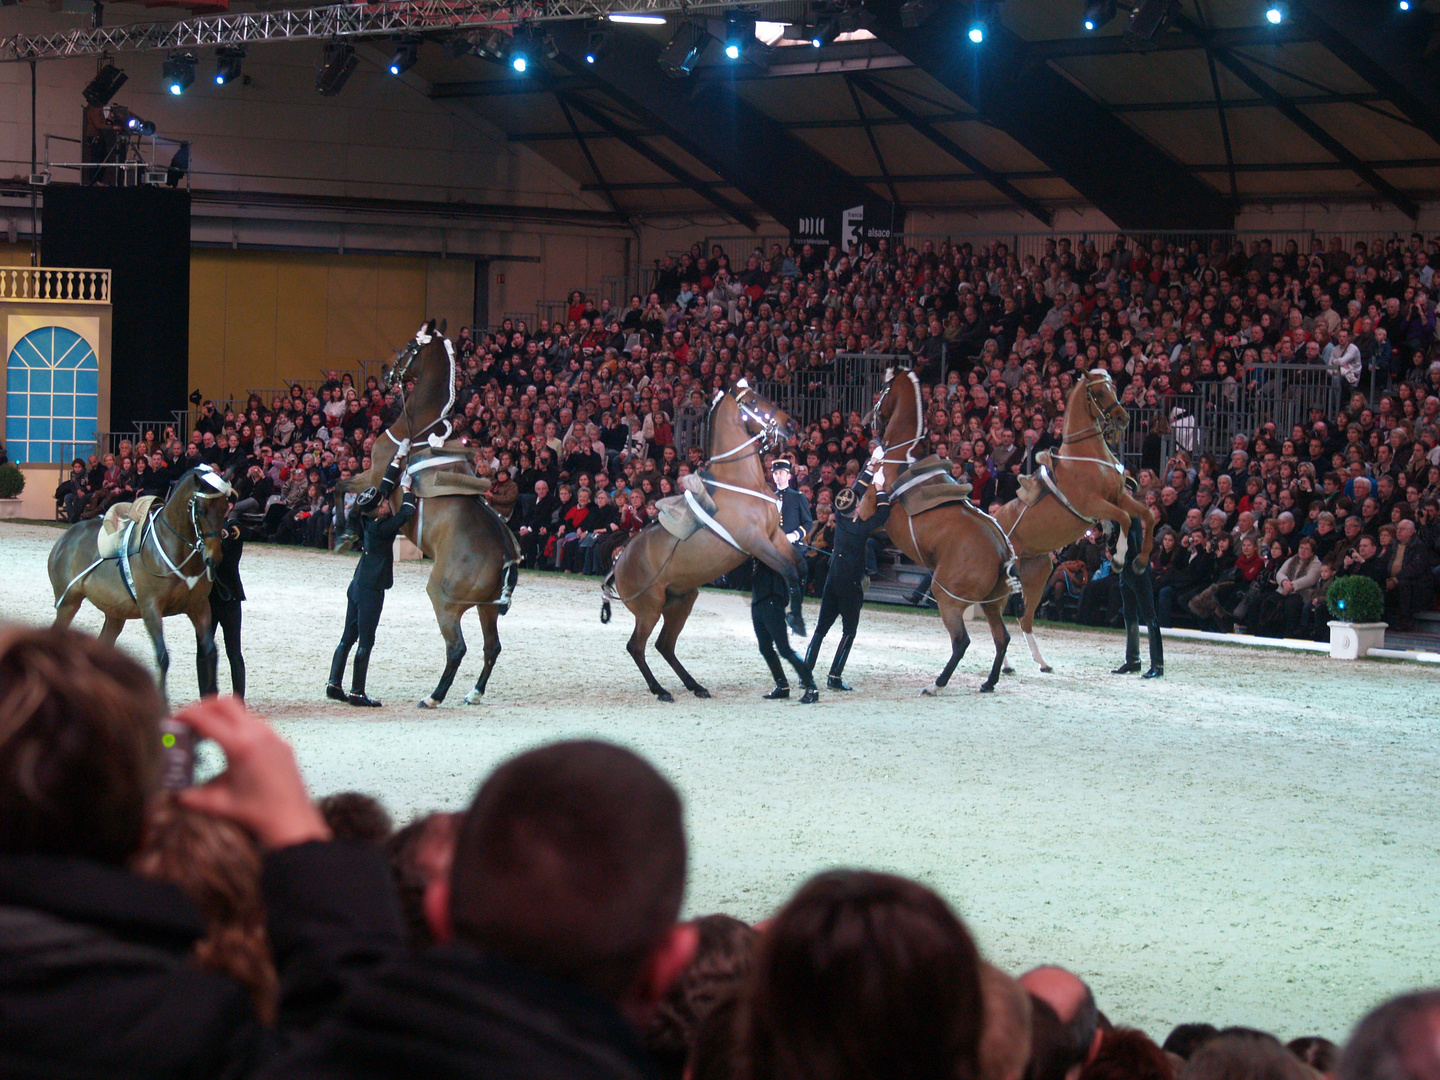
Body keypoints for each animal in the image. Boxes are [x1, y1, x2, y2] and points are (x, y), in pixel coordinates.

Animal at [596, 385, 800, 705]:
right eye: (753, 401)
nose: (790, 424)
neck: (742, 483)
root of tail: (619, 561)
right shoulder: (757, 543)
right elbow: (789, 571)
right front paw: (795, 620)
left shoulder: (774, 536)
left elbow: (799, 567)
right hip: (649, 610)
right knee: (637, 647)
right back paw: (661, 690)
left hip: (681, 602)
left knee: (664, 645)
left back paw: (695, 685)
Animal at [864, 371, 1013, 694]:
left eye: (883, 390)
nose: (870, 419)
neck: (901, 457)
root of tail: (1002, 552)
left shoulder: (868, 512)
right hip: (993, 604)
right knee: (1002, 638)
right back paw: (988, 682)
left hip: (949, 599)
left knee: (961, 641)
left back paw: (937, 683)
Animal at [990, 368, 1157, 673]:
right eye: (1099, 392)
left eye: (1115, 387)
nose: (1123, 418)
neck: (1086, 457)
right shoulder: (1095, 504)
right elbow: (1125, 520)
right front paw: (1119, 558)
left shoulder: (1118, 497)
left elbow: (1147, 515)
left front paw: (1140, 561)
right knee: (997, 614)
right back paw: (1007, 664)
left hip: (1038, 571)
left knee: (1023, 618)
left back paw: (1041, 663)